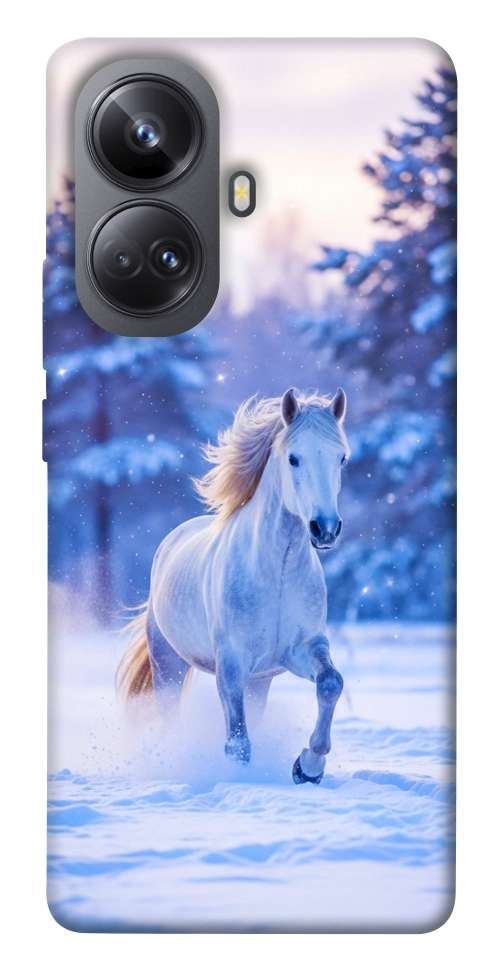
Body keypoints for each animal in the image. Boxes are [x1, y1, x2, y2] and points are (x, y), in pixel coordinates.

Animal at [118, 387, 350, 784]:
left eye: (341, 458)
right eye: (294, 458)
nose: (325, 529)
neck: (277, 574)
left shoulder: (301, 649)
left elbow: (331, 683)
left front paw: (308, 767)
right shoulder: (231, 664)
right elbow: (237, 742)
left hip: (259, 682)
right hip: (168, 665)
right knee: (170, 717)